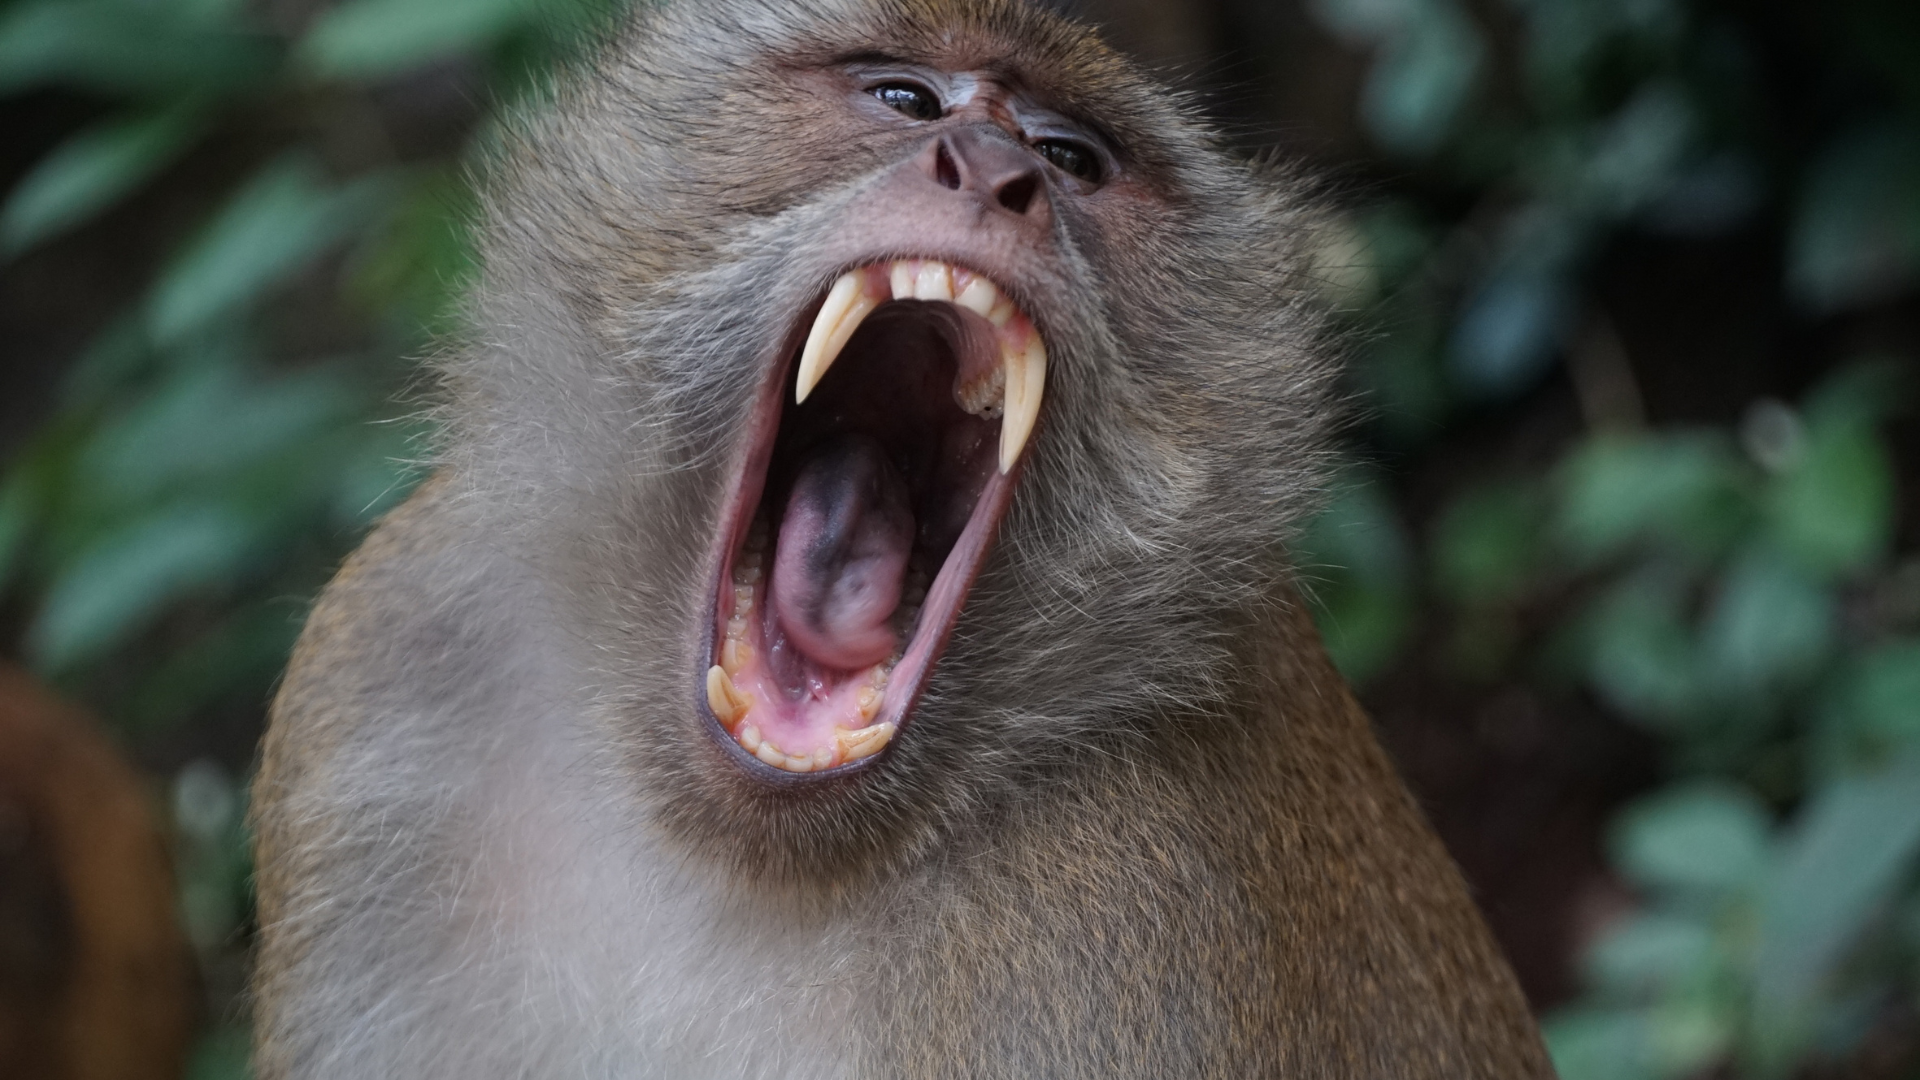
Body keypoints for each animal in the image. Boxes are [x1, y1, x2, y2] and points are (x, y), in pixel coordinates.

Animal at [250, 0, 1556, 1076]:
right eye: (904, 101)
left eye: (1073, 161)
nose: (993, 170)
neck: (749, 856)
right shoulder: (389, 660)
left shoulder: (1142, 899)